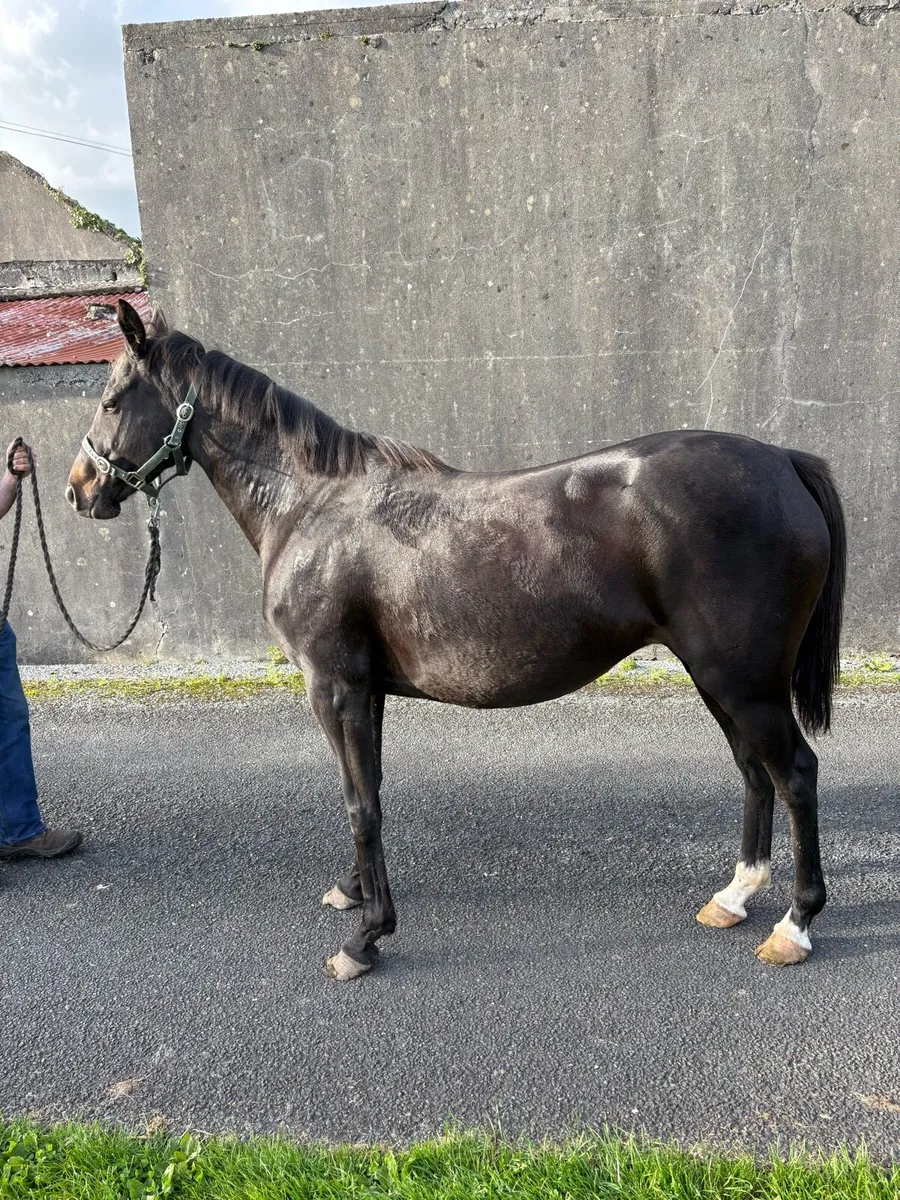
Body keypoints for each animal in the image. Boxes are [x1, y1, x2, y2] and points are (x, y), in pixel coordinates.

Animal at [67, 300, 846, 980]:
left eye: (112, 401)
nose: (79, 489)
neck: (311, 504)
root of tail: (782, 460)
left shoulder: (333, 687)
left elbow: (360, 804)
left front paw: (366, 938)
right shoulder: (366, 690)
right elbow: (369, 789)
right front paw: (356, 893)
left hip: (742, 681)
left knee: (794, 773)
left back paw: (796, 924)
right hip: (721, 679)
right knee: (753, 771)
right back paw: (735, 896)